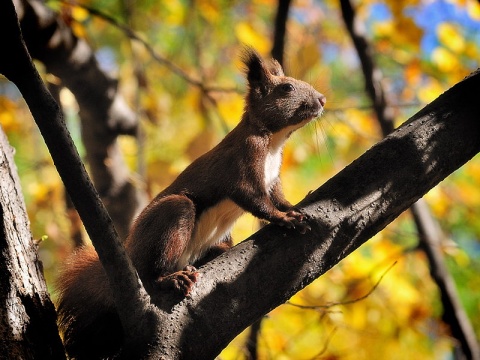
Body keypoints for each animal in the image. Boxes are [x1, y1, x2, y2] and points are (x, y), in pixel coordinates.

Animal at [55, 48, 326, 360]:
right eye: (287, 88)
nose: (322, 100)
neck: (273, 141)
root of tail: (129, 252)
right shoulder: (242, 164)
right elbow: (255, 200)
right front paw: (284, 219)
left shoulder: (273, 180)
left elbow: (278, 197)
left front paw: (293, 207)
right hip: (172, 216)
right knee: (153, 267)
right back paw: (170, 279)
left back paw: (218, 250)